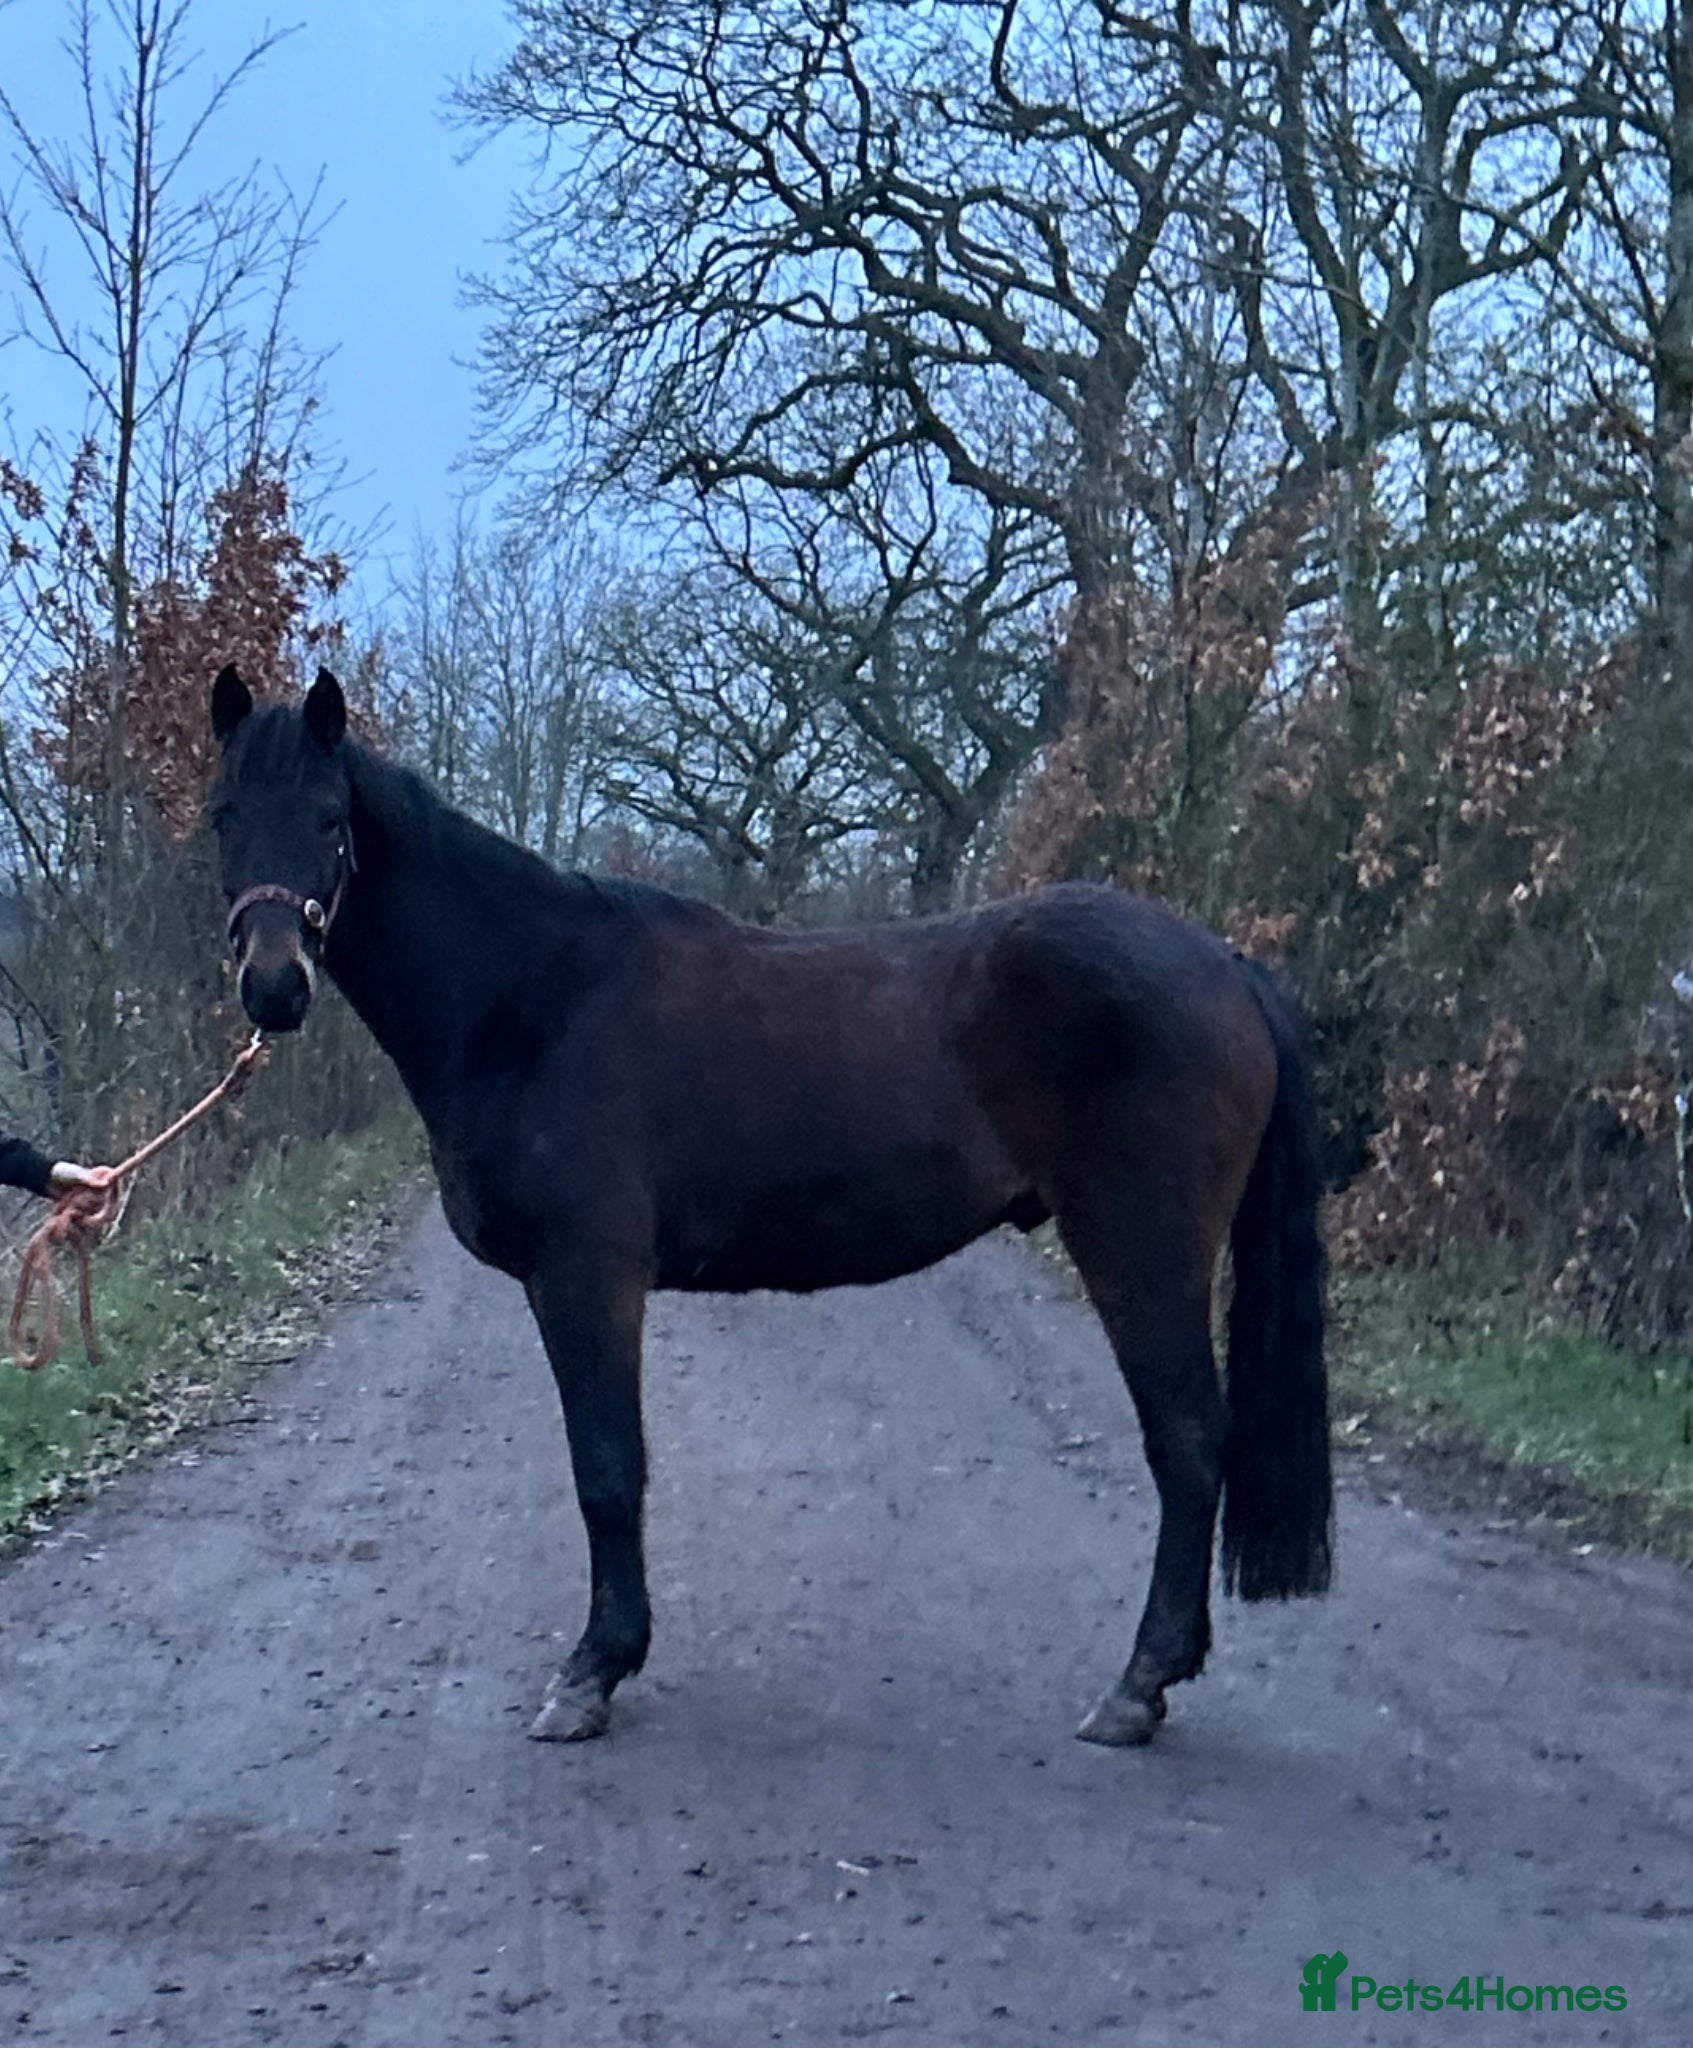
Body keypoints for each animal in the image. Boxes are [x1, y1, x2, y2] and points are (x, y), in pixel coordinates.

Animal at [207, 664, 1333, 1747]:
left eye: (330, 819)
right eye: (221, 816)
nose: (275, 986)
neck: (529, 995)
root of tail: (1225, 965)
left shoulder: (585, 1277)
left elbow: (607, 1467)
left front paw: (593, 1671)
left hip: (1141, 1248)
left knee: (1187, 1440)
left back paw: (1138, 1685)